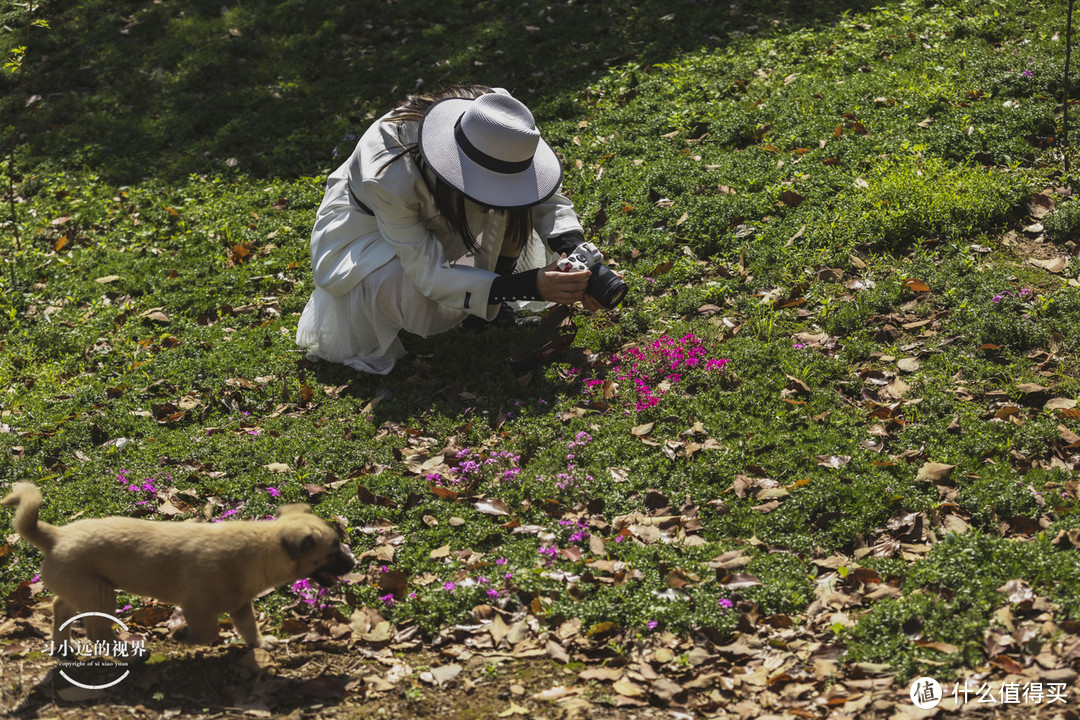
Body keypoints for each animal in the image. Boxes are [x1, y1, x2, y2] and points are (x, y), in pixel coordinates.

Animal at [1, 483, 354, 647]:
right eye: (333, 550)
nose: (352, 562)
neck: (260, 548)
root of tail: (55, 536)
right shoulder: (198, 606)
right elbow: (208, 632)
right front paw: (184, 636)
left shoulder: (240, 606)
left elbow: (249, 629)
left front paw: (260, 644)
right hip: (100, 594)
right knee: (97, 630)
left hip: (85, 591)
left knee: (61, 607)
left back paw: (64, 644)